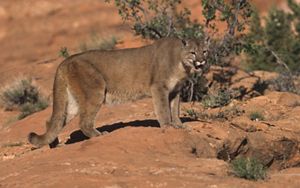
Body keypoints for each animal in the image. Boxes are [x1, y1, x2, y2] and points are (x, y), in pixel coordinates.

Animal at [28, 37, 207, 148]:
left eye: (204, 51)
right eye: (193, 52)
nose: (202, 60)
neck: (181, 63)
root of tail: (66, 60)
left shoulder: (175, 91)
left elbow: (175, 109)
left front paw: (179, 125)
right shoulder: (159, 88)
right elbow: (163, 109)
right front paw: (168, 126)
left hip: (73, 102)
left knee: (53, 121)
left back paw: (54, 144)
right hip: (95, 92)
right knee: (84, 121)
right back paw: (99, 134)